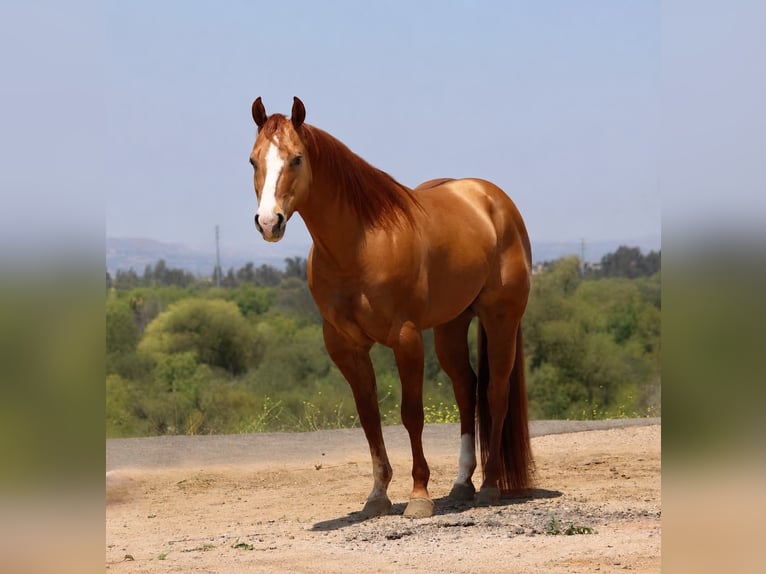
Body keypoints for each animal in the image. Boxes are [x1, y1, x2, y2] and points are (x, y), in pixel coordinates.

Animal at [248, 97, 534, 518]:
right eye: (253, 160)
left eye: (296, 158)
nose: (269, 223)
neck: (361, 244)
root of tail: (493, 200)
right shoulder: (346, 346)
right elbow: (369, 416)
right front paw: (377, 495)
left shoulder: (406, 338)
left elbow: (411, 414)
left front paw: (419, 495)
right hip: (451, 325)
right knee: (466, 388)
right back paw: (462, 483)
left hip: (501, 318)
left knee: (495, 392)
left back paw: (490, 486)